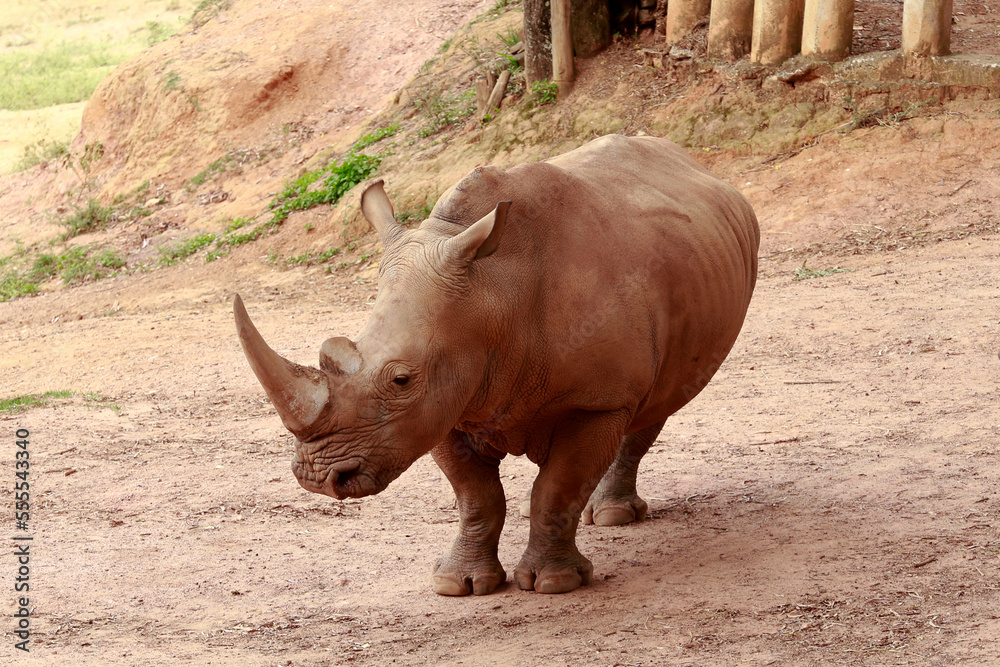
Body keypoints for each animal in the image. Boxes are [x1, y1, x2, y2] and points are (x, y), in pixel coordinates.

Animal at [233, 134, 759, 595]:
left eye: (401, 379)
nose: (317, 478)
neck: (492, 295)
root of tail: (697, 164)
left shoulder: (595, 400)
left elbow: (556, 490)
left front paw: (553, 584)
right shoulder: (444, 403)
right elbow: (476, 498)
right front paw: (458, 585)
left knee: (657, 400)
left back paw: (610, 516)